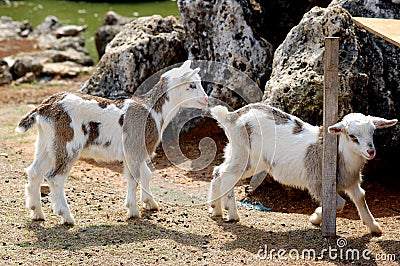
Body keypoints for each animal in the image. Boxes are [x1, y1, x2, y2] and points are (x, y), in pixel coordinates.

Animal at [15, 60, 209, 224]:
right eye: (192, 85)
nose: (206, 100)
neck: (153, 111)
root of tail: (43, 108)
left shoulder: (136, 152)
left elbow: (144, 175)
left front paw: (149, 203)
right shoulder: (134, 149)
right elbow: (135, 177)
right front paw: (133, 211)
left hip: (47, 143)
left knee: (34, 172)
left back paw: (37, 212)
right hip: (68, 144)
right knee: (55, 177)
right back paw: (66, 216)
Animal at [209, 103, 396, 234]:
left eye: (373, 131)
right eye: (352, 136)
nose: (371, 151)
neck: (339, 152)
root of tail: (230, 117)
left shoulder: (350, 181)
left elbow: (360, 197)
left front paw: (374, 227)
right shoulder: (318, 183)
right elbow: (339, 203)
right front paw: (316, 217)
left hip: (237, 153)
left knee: (218, 171)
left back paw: (216, 209)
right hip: (246, 156)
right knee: (227, 176)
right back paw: (232, 214)